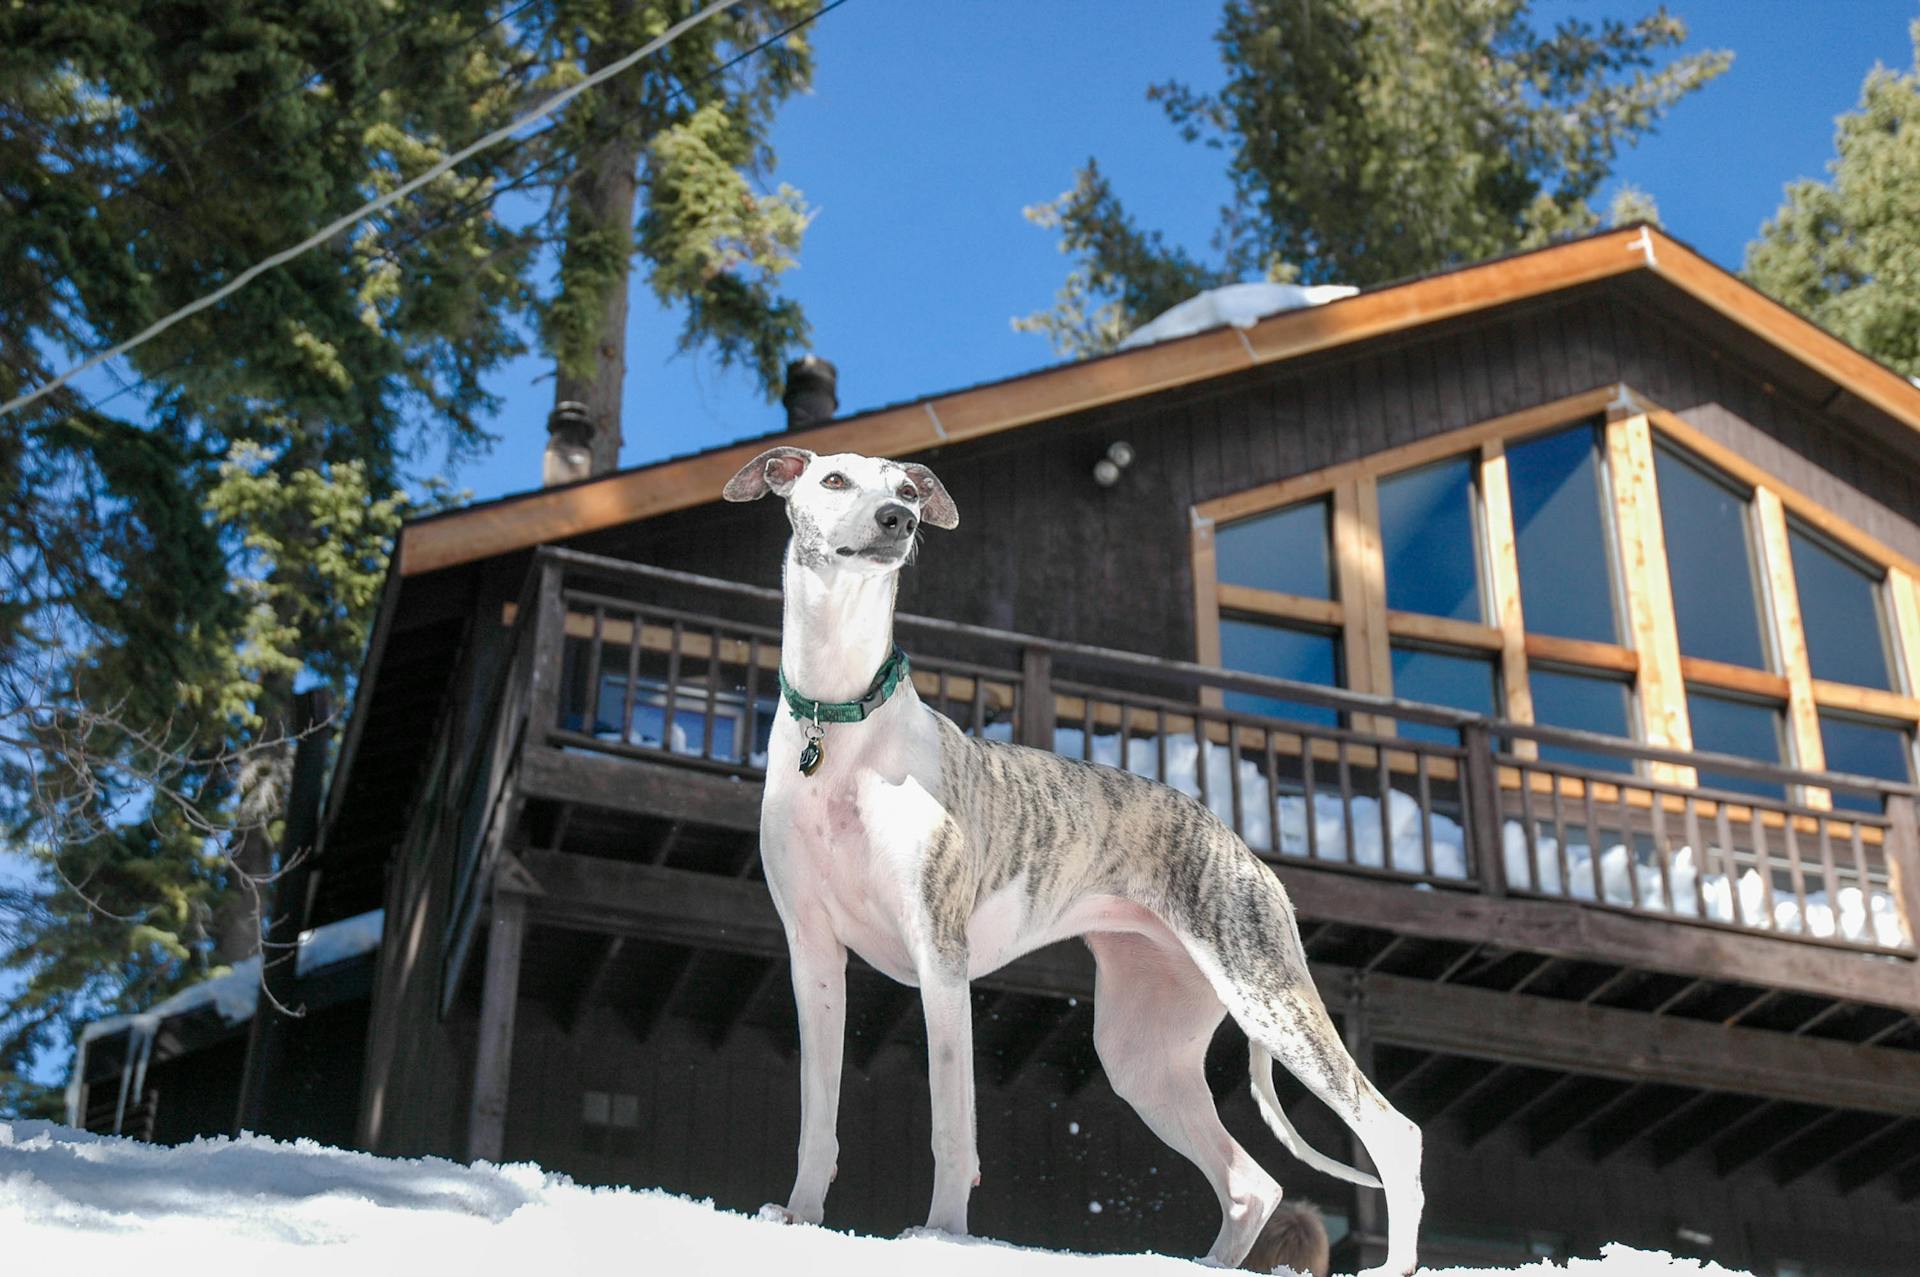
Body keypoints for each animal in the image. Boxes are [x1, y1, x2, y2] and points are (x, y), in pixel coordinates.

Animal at [725, 443, 1420, 1267]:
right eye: (833, 480)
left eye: (907, 491)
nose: (899, 521)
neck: (840, 724)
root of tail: (1247, 853)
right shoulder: (813, 954)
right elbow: (817, 1114)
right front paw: (800, 1217)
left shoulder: (940, 955)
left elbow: (952, 1124)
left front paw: (942, 1235)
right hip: (1142, 1053)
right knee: (1254, 1183)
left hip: (1270, 999)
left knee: (1394, 1131)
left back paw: (1397, 1262)